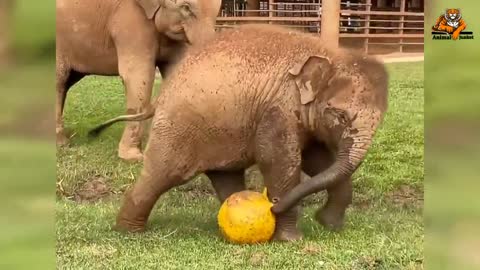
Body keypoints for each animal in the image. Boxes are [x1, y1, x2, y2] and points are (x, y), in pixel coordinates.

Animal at [55, 0, 221, 160]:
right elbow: (139, 75)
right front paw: (133, 157)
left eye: (218, 9)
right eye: (186, 7)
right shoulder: (129, 20)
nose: (93, 132)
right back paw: (62, 143)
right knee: (59, 82)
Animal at [91, 24, 390, 240]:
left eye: (380, 120)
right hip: (177, 127)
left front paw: (329, 225)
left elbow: (319, 163)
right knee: (161, 174)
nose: (271, 205)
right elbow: (280, 163)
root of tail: (162, 92)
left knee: (226, 176)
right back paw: (129, 232)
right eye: (340, 115)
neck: (330, 54)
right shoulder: (278, 108)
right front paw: (292, 240)